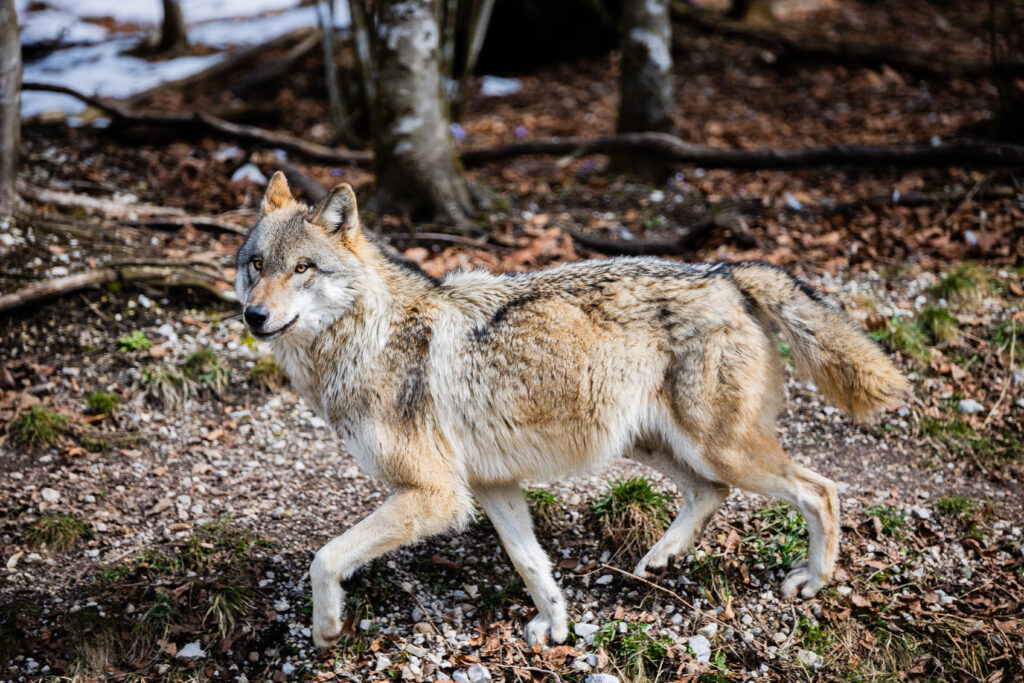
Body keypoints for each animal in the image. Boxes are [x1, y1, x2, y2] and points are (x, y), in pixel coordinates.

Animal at [235, 172, 909, 648]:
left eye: (303, 268)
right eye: (257, 265)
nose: (253, 315)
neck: (366, 338)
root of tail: (724, 271)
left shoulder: (436, 496)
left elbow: (326, 558)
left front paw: (325, 628)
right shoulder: (493, 486)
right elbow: (530, 563)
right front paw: (556, 629)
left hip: (721, 448)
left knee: (820, 490)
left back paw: (812, 580)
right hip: (653, 444)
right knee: (711, 492)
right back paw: (663, 556)